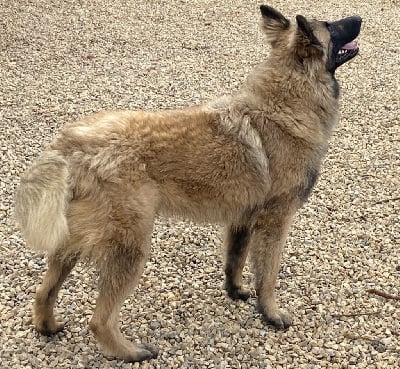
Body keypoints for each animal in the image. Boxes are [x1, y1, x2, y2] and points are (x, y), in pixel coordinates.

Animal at [14, 5, 360, 362]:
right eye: (331, 25)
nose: (359, 19)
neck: (288, 98)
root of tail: (71, 142)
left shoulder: (242, 220)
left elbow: (235, 261)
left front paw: (236, 291)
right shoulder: (274, 222)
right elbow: (268, 276)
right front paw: (271, 313)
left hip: (74, 241)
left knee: (44, 291)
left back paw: (48, 326)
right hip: (131, 246)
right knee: (99, 321)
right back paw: (129, 351)